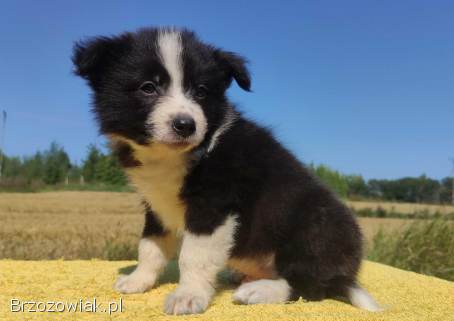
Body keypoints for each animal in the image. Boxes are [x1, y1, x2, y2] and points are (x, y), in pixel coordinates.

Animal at [72, 26, 382, 314]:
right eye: (148, 87)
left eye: (201, 91)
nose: (185, 125)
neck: (171, 156)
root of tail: (347, 273)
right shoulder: (156, 204)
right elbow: (150, 245)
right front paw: (139, 280)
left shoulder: (214, 206)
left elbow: (193, 256)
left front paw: (188, 296)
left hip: (316, 227)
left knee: (310, 285)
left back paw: (259, 290)